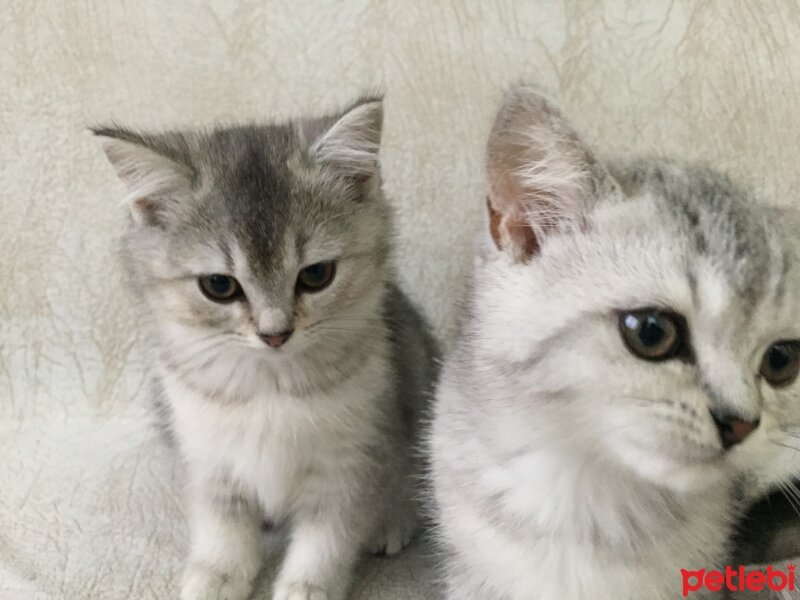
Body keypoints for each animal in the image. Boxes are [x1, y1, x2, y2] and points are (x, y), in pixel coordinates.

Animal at [94, 97, 438, 600]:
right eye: (219, 286)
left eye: (316, 275)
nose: (275, 333)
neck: (267, 387)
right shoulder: (208, 455)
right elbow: (223, 525)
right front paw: (218, 574)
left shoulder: (350, 461)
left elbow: (327, 537)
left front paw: (307, 586)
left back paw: (391, 522)